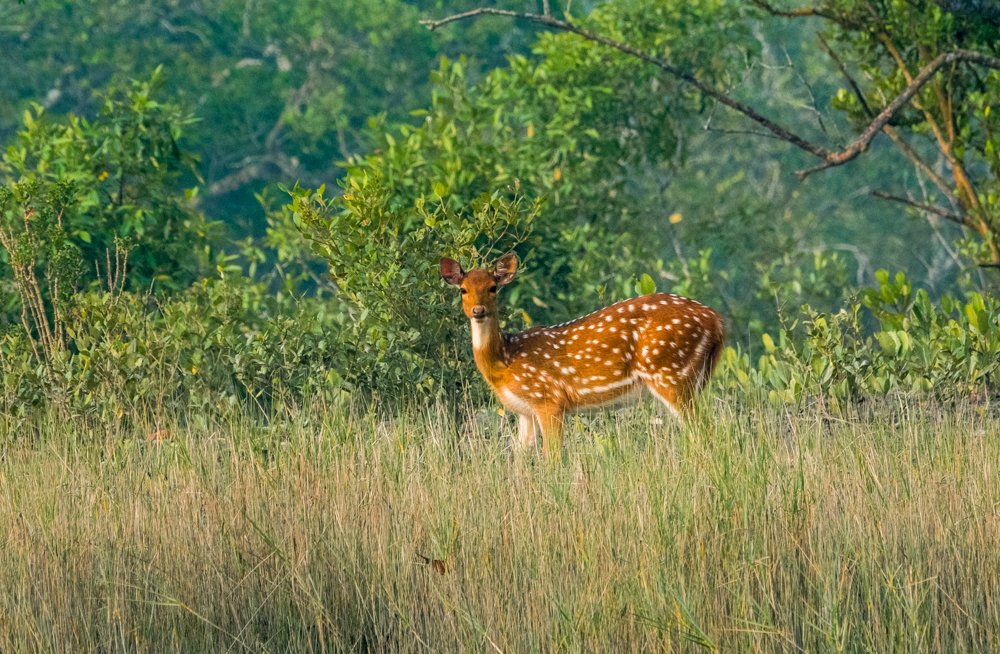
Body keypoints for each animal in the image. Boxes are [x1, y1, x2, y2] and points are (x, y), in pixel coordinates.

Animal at [441, 253, 725, 455]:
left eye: (493, 287)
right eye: (463, 289)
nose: (478, 311)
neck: (505, 361)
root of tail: (717, 321)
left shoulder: (549, 399)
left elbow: (553, 458)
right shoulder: (524, 412)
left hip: (671, 372)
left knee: (705, 431)